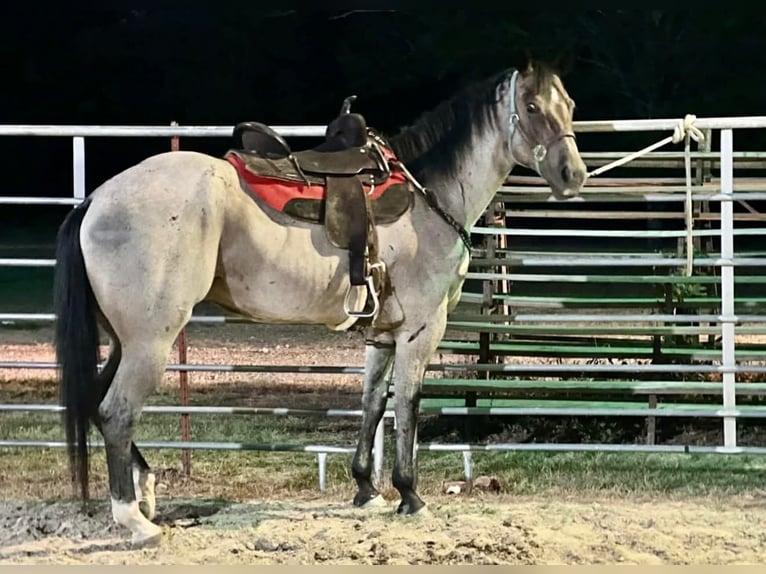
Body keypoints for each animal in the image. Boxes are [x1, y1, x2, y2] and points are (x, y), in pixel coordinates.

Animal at [53, 61, 587, 546]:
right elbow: (407, 405)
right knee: (116, 412)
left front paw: (367, 490)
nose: (573, 174)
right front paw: (410, 496)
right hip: (150, 342)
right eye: (532, 107)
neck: (427, 197)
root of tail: (96, 201)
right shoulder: (421, 330)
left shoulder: (382, 336)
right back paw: (135, 520)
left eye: (571, 105)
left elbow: (372, 403)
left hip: (124, 341)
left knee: (97, 404)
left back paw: (145, 491)